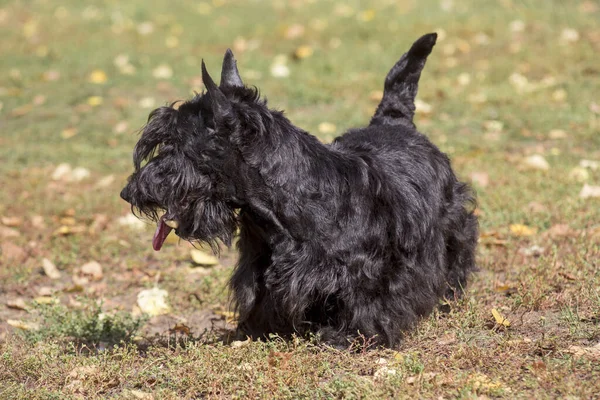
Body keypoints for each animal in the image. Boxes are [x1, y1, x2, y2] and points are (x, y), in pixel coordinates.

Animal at [120, 33, 478, 346]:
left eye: (175, 144)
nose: (128, 193)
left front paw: (350, 337)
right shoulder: (259, 269)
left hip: (453, 222)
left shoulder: (369, 270)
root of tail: (394, 121)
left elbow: (368, 301)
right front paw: (257, 330)